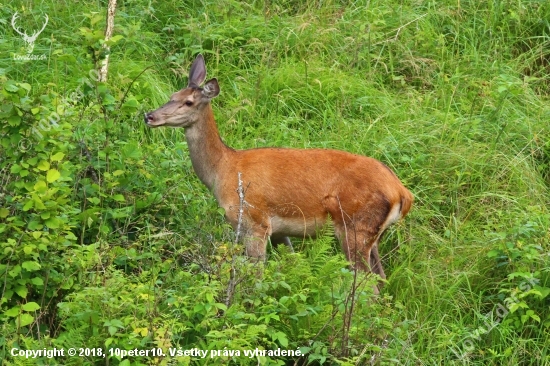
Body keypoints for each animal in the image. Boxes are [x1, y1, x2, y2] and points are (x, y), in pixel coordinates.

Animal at [147, 54, 414, 290]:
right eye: (172, 96)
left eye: (188, 102)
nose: (149, 115)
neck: (223, 170)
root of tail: (402, 193)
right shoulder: (278, 231)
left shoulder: (255, 221)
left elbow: (254, 277)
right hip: (372, 235)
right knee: (381, 278)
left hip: (355, 228)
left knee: (369, 285)